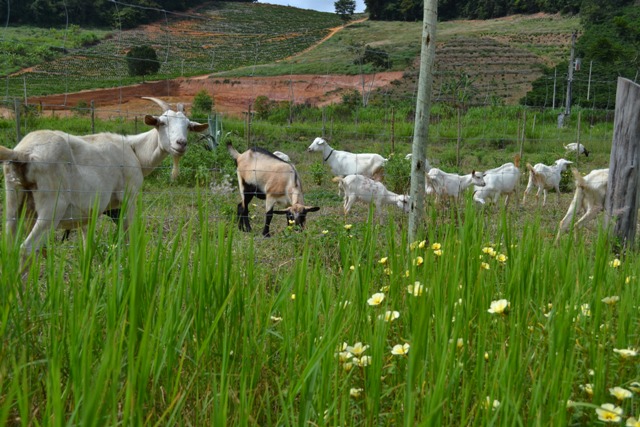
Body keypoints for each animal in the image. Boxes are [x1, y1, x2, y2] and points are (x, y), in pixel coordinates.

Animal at [0, 97, 208, 260]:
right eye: (162, 123)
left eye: (188, 126)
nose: (181, 143)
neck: (134, 150)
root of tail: (23, 153)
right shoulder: (129, 197)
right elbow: (128, 236)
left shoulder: (89, 212)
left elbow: (87, 244)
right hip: (51, 206)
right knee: (26, 249)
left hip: (13, 199)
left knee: (10, 247)